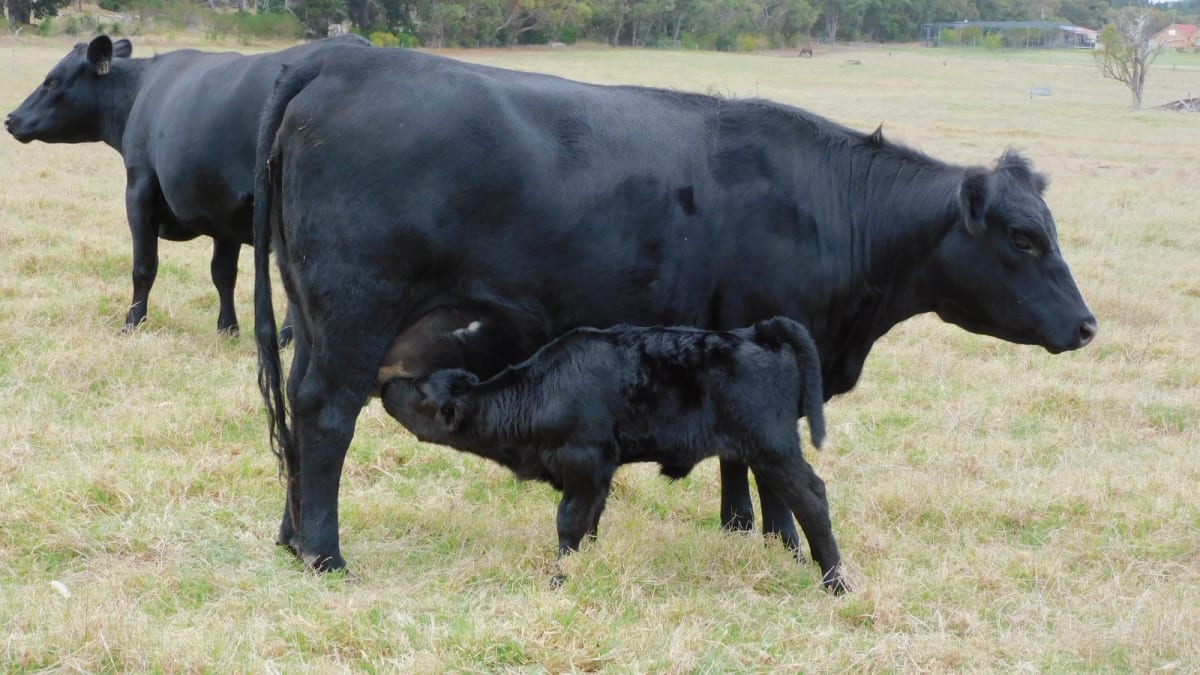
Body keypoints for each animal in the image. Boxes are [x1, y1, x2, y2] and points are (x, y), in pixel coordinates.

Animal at [3, 34, 369, 339]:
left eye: (53, 81)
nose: (10, 118)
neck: (140, 92)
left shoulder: (139, 189)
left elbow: (144, 266)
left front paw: (131, 324)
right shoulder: (224, 210)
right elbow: (223, 273)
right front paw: (228, 330)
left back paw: (287, 337)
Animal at [379, 317, 846, 593]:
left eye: (419, 389)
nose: (385, 384)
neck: (541, 392)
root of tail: (757, 332)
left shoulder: (584, 464)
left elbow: (569, 523)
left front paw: (559, 580)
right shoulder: (599, 475)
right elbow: (590, 524)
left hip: (772, 445)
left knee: (812, 496)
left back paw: (835, 583)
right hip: (768, 449)